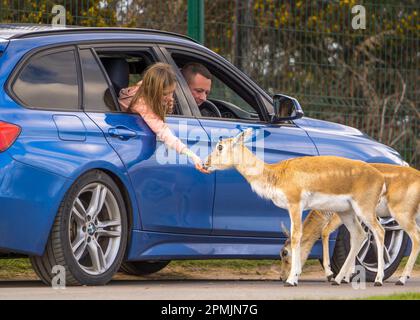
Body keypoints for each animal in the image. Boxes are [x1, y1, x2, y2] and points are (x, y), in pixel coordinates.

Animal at [204, 129, 388, 286]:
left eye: (220, 146)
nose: (206, 163)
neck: (277, 175)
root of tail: (381, 177)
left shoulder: (295, 205)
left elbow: (296, 236)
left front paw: (292, 280)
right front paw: (296, 276)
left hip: (364, 209)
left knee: (379, 231)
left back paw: (378, 280)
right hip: (346, 212)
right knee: (359, 234)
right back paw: (337, 279)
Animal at [278, 162, 420, 284]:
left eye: (285, 253)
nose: (282, 277)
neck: (324, 211)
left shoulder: (339, 214)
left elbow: (325, 231)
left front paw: (330, 274)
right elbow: (354, 239)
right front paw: (346, 277)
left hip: (401, 212)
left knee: (415, 237)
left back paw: (400, 279)